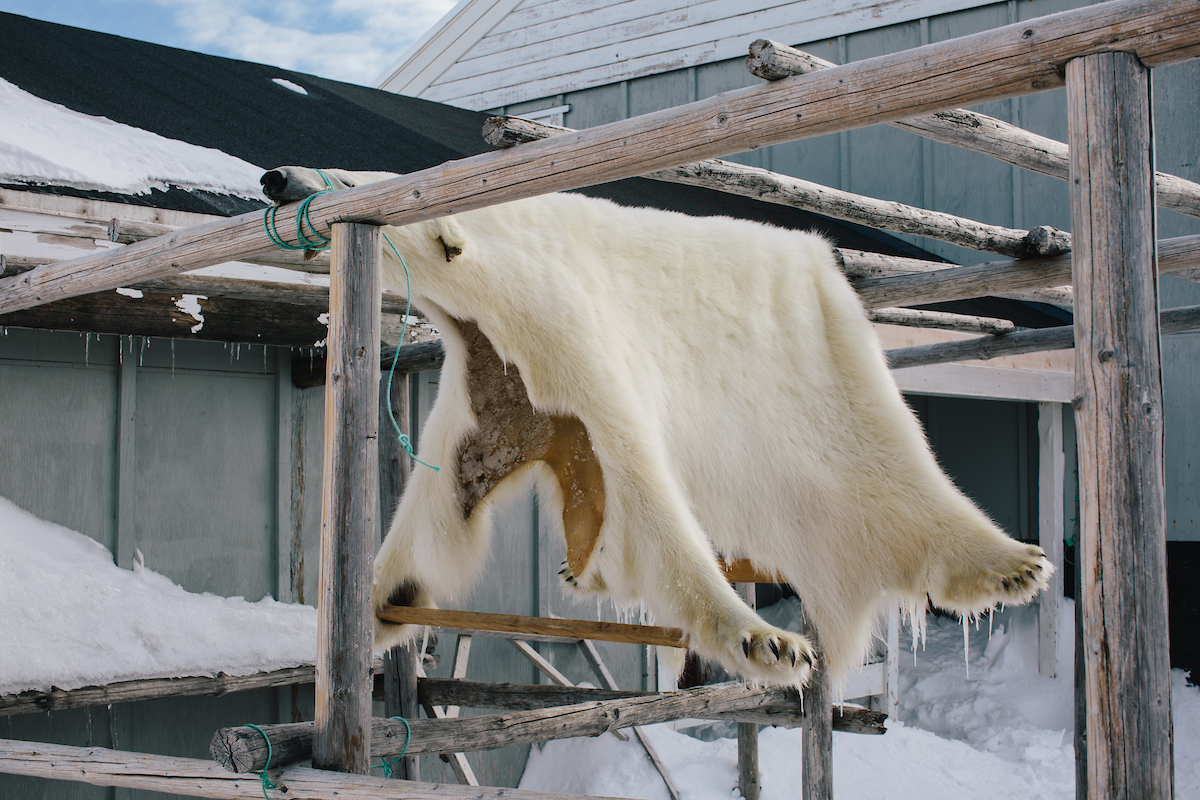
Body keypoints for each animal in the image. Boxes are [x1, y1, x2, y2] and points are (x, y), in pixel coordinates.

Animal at [262, 166, 1052, 687]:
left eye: (335, 175)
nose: (277, 178)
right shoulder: (491, 393)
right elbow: (432, 524)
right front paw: (375, 604)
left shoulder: (562, 327)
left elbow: (647, 498)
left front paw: (763, 642)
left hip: (836, 368)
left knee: (882, 471)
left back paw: (1008, 564)